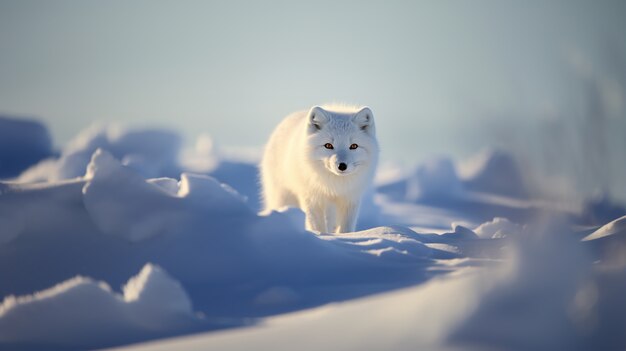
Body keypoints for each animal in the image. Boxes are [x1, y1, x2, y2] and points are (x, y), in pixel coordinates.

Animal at [258, 104, 376, 234]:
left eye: (354, 146)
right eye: (328, 145)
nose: (342, 166)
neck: (335, 186)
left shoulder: (351, 199)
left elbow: (346, 229)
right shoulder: (312, 197)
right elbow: (316, 225)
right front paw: (321, 235)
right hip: (283, 197)